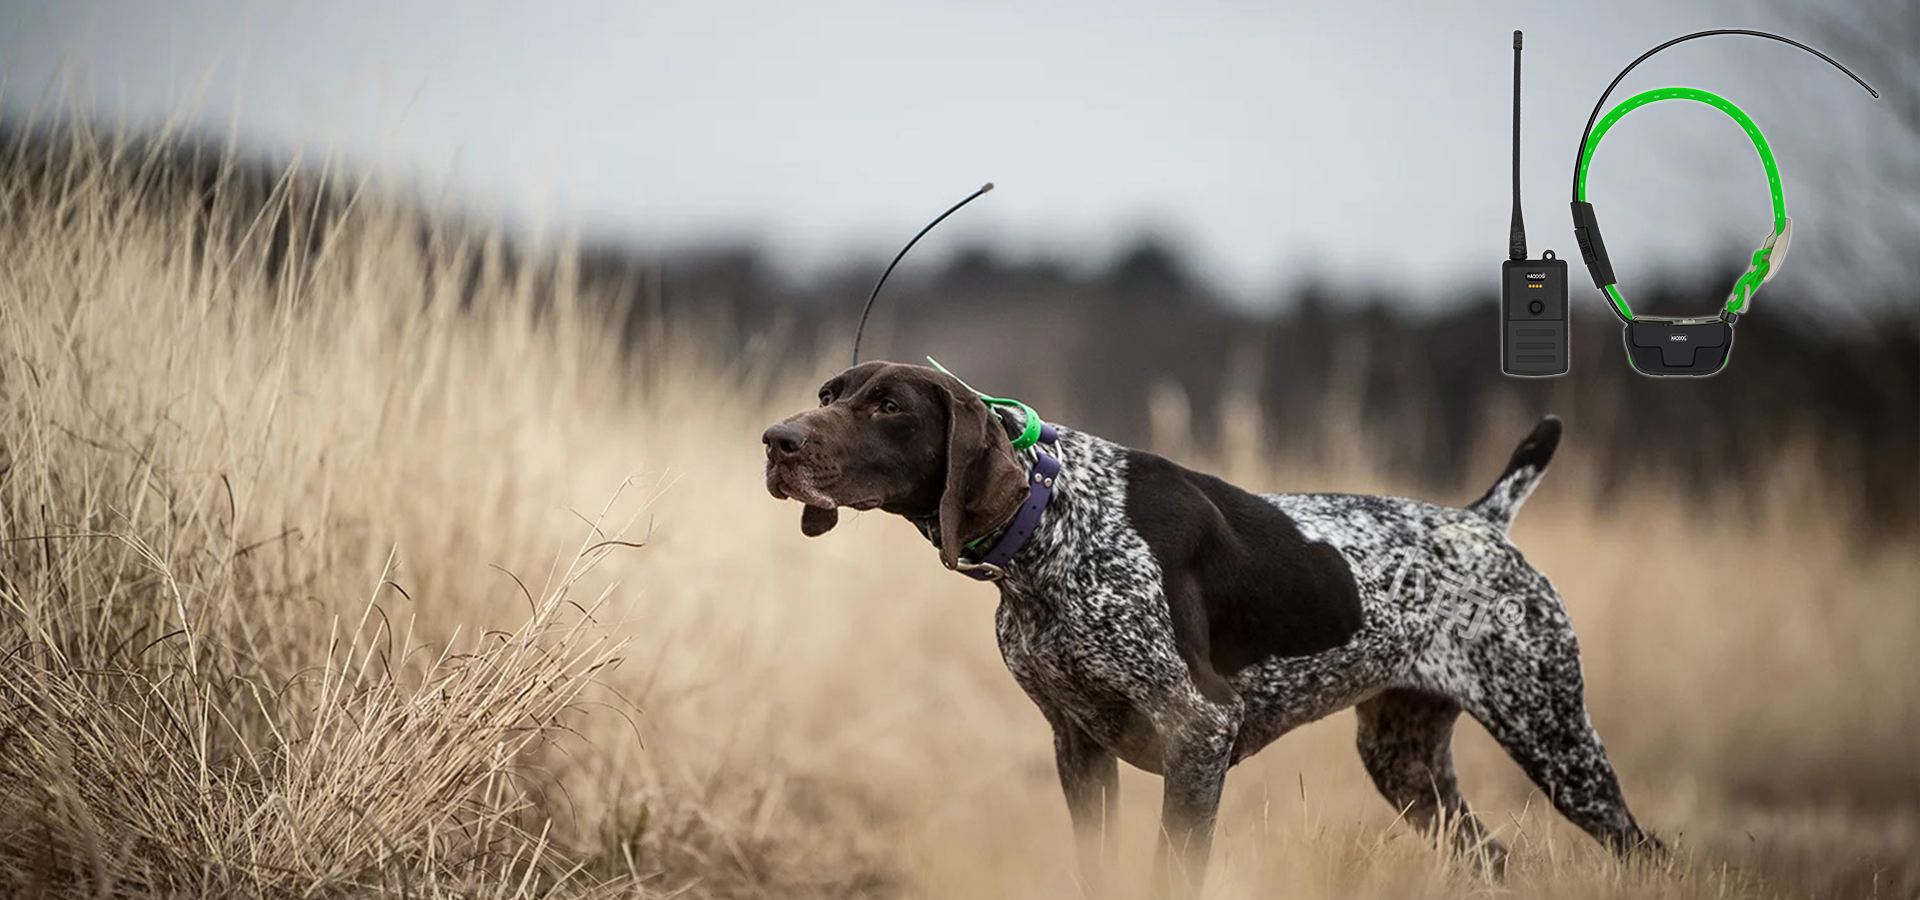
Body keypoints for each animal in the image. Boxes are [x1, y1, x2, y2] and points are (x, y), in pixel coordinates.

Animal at [756, 358, 1658, 890]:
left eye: (887, 405)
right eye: (829, 396)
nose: (776, 439)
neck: (1054, 526)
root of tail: (1484, 519)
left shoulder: (1199, 732)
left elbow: (1170, 870)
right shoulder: (1078, 745)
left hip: (1555, 738)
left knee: (1642, 851)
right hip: (1406, 763)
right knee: (1494, 858)